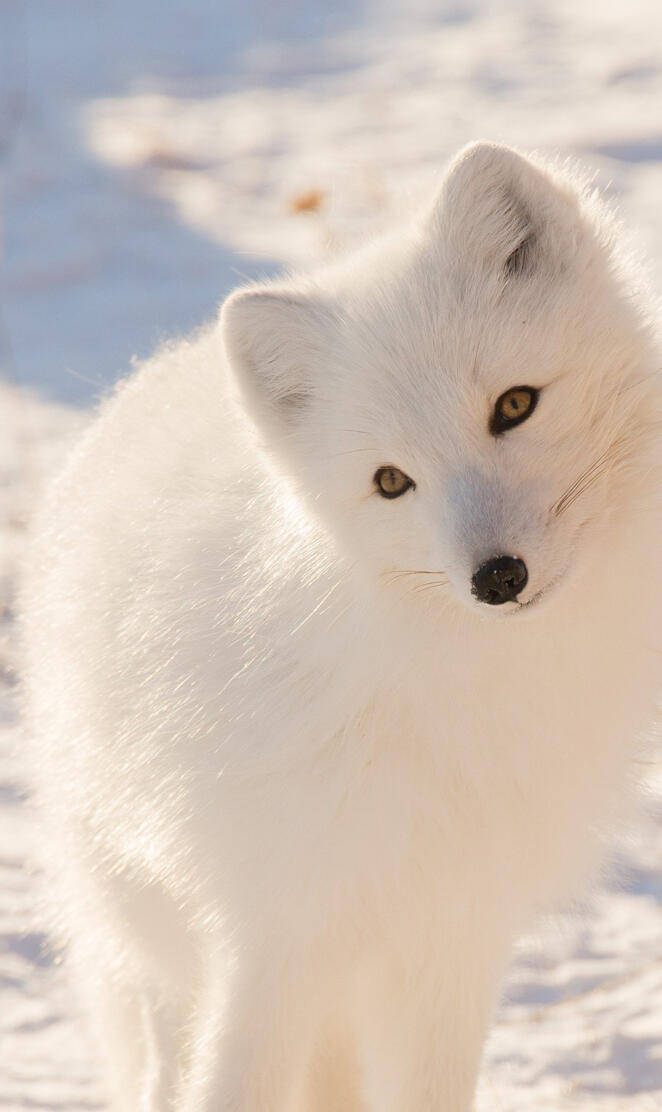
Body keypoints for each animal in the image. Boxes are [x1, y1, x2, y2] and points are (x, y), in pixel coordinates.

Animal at [21, 142, 662, 1111]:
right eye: (391, 482)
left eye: (515, 406)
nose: (496, 578)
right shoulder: (277, 930)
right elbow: (232, 1085)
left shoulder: (450, 936)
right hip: (157, 927)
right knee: (166, 1068)